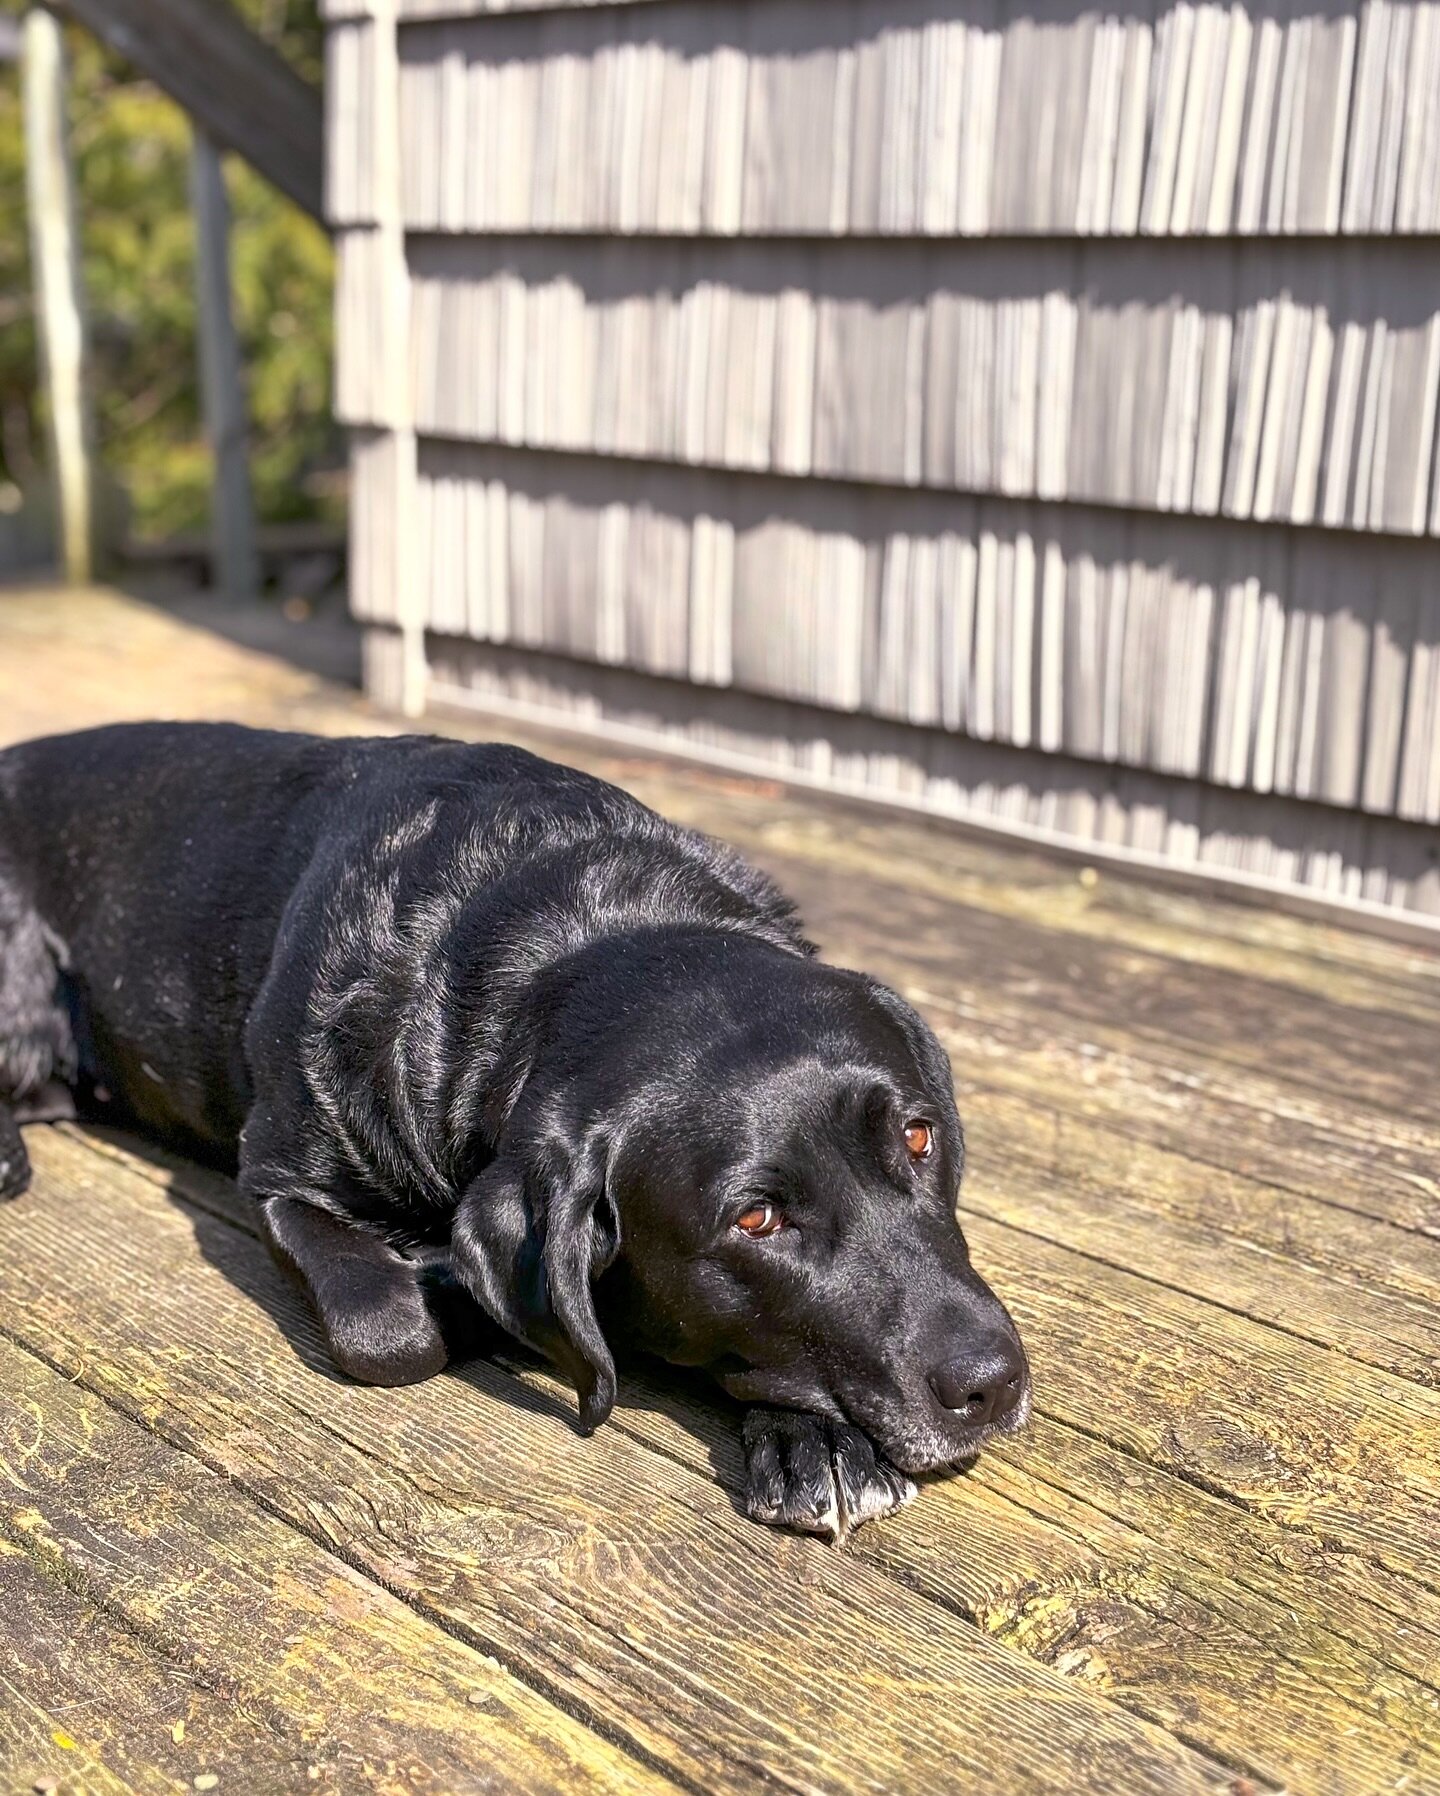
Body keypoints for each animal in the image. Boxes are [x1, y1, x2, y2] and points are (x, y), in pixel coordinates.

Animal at [2, 721, 1034, 1537]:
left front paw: (814, 1438)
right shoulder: (281, 1180)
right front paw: (444, 1290)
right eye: (757, 1221)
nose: (991, 1381)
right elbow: (391, 1332)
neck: (558, 940)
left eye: (918, 1138)